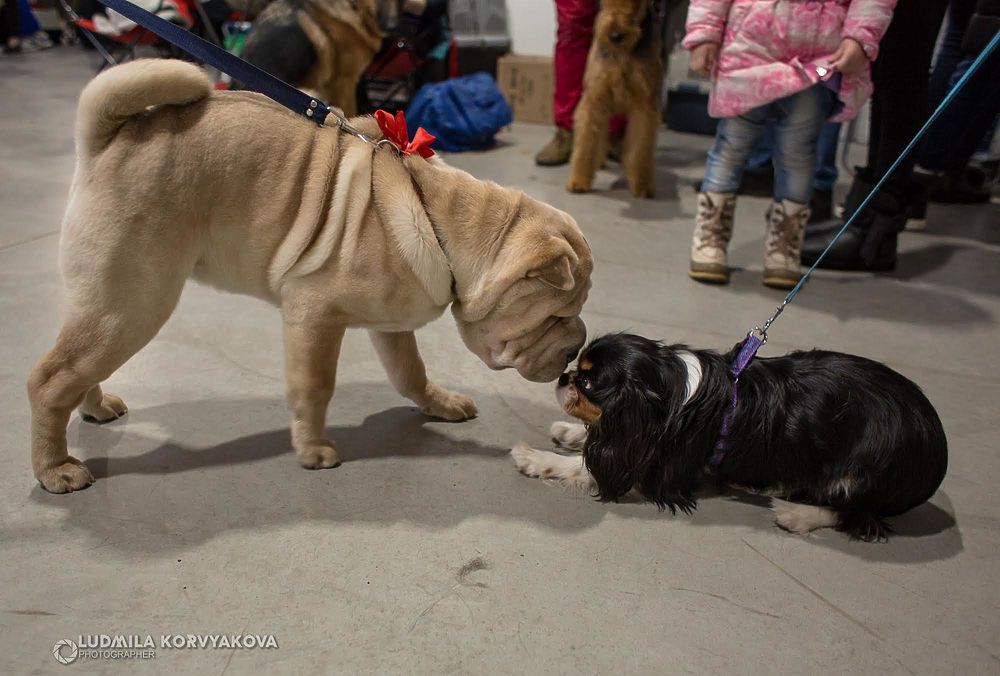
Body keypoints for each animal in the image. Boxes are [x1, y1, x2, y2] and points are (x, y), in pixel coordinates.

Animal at [29, 60, 592, 494]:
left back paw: (96, 407)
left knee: (78, 367)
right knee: (49, 380)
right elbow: (314, 385)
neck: (444, 222)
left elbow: (410, 372)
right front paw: (314, 447)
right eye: (557, 315)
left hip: (109, 308)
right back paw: (55, 469)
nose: (576, 347)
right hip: (133, 305)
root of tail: (107, 138)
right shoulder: (314, 316)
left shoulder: (392, 327)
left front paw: (441, 403)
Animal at [568, 0, 660, 198]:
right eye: (602, 2)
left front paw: (642, 185)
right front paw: (579, 180)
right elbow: (586, 142)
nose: (615, 36)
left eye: (636, 2)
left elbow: (640, 147)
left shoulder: (645, 105)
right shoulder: (594, 99)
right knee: (599, 135)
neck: (622, 53)